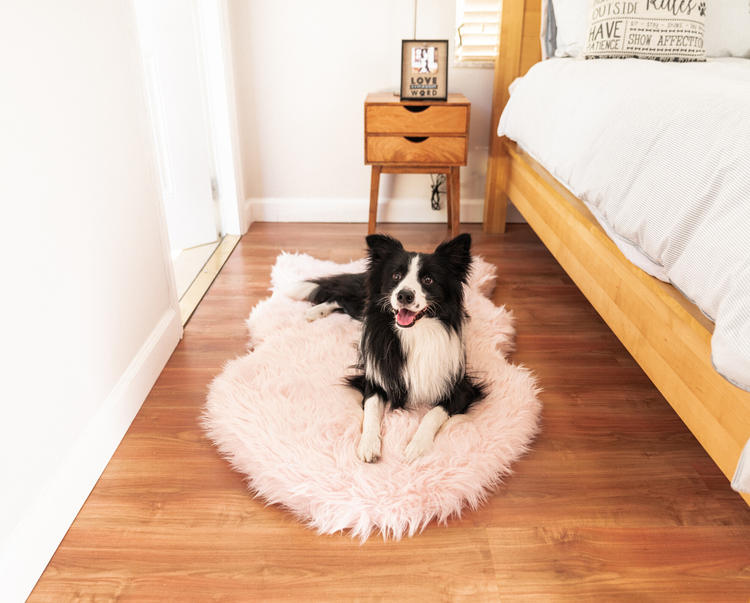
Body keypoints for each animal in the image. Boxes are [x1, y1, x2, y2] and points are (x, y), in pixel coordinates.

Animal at [288, 234, 488, 464]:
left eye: (428, 280)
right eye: (396, 275)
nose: (404, 295)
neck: (415, 332)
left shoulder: (462, 387)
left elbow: (434, 413)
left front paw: (417, 445)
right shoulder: (374, 377)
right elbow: (372, 408)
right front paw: (368, 444)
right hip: (362, 306)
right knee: (340, 298)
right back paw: (315, 312)